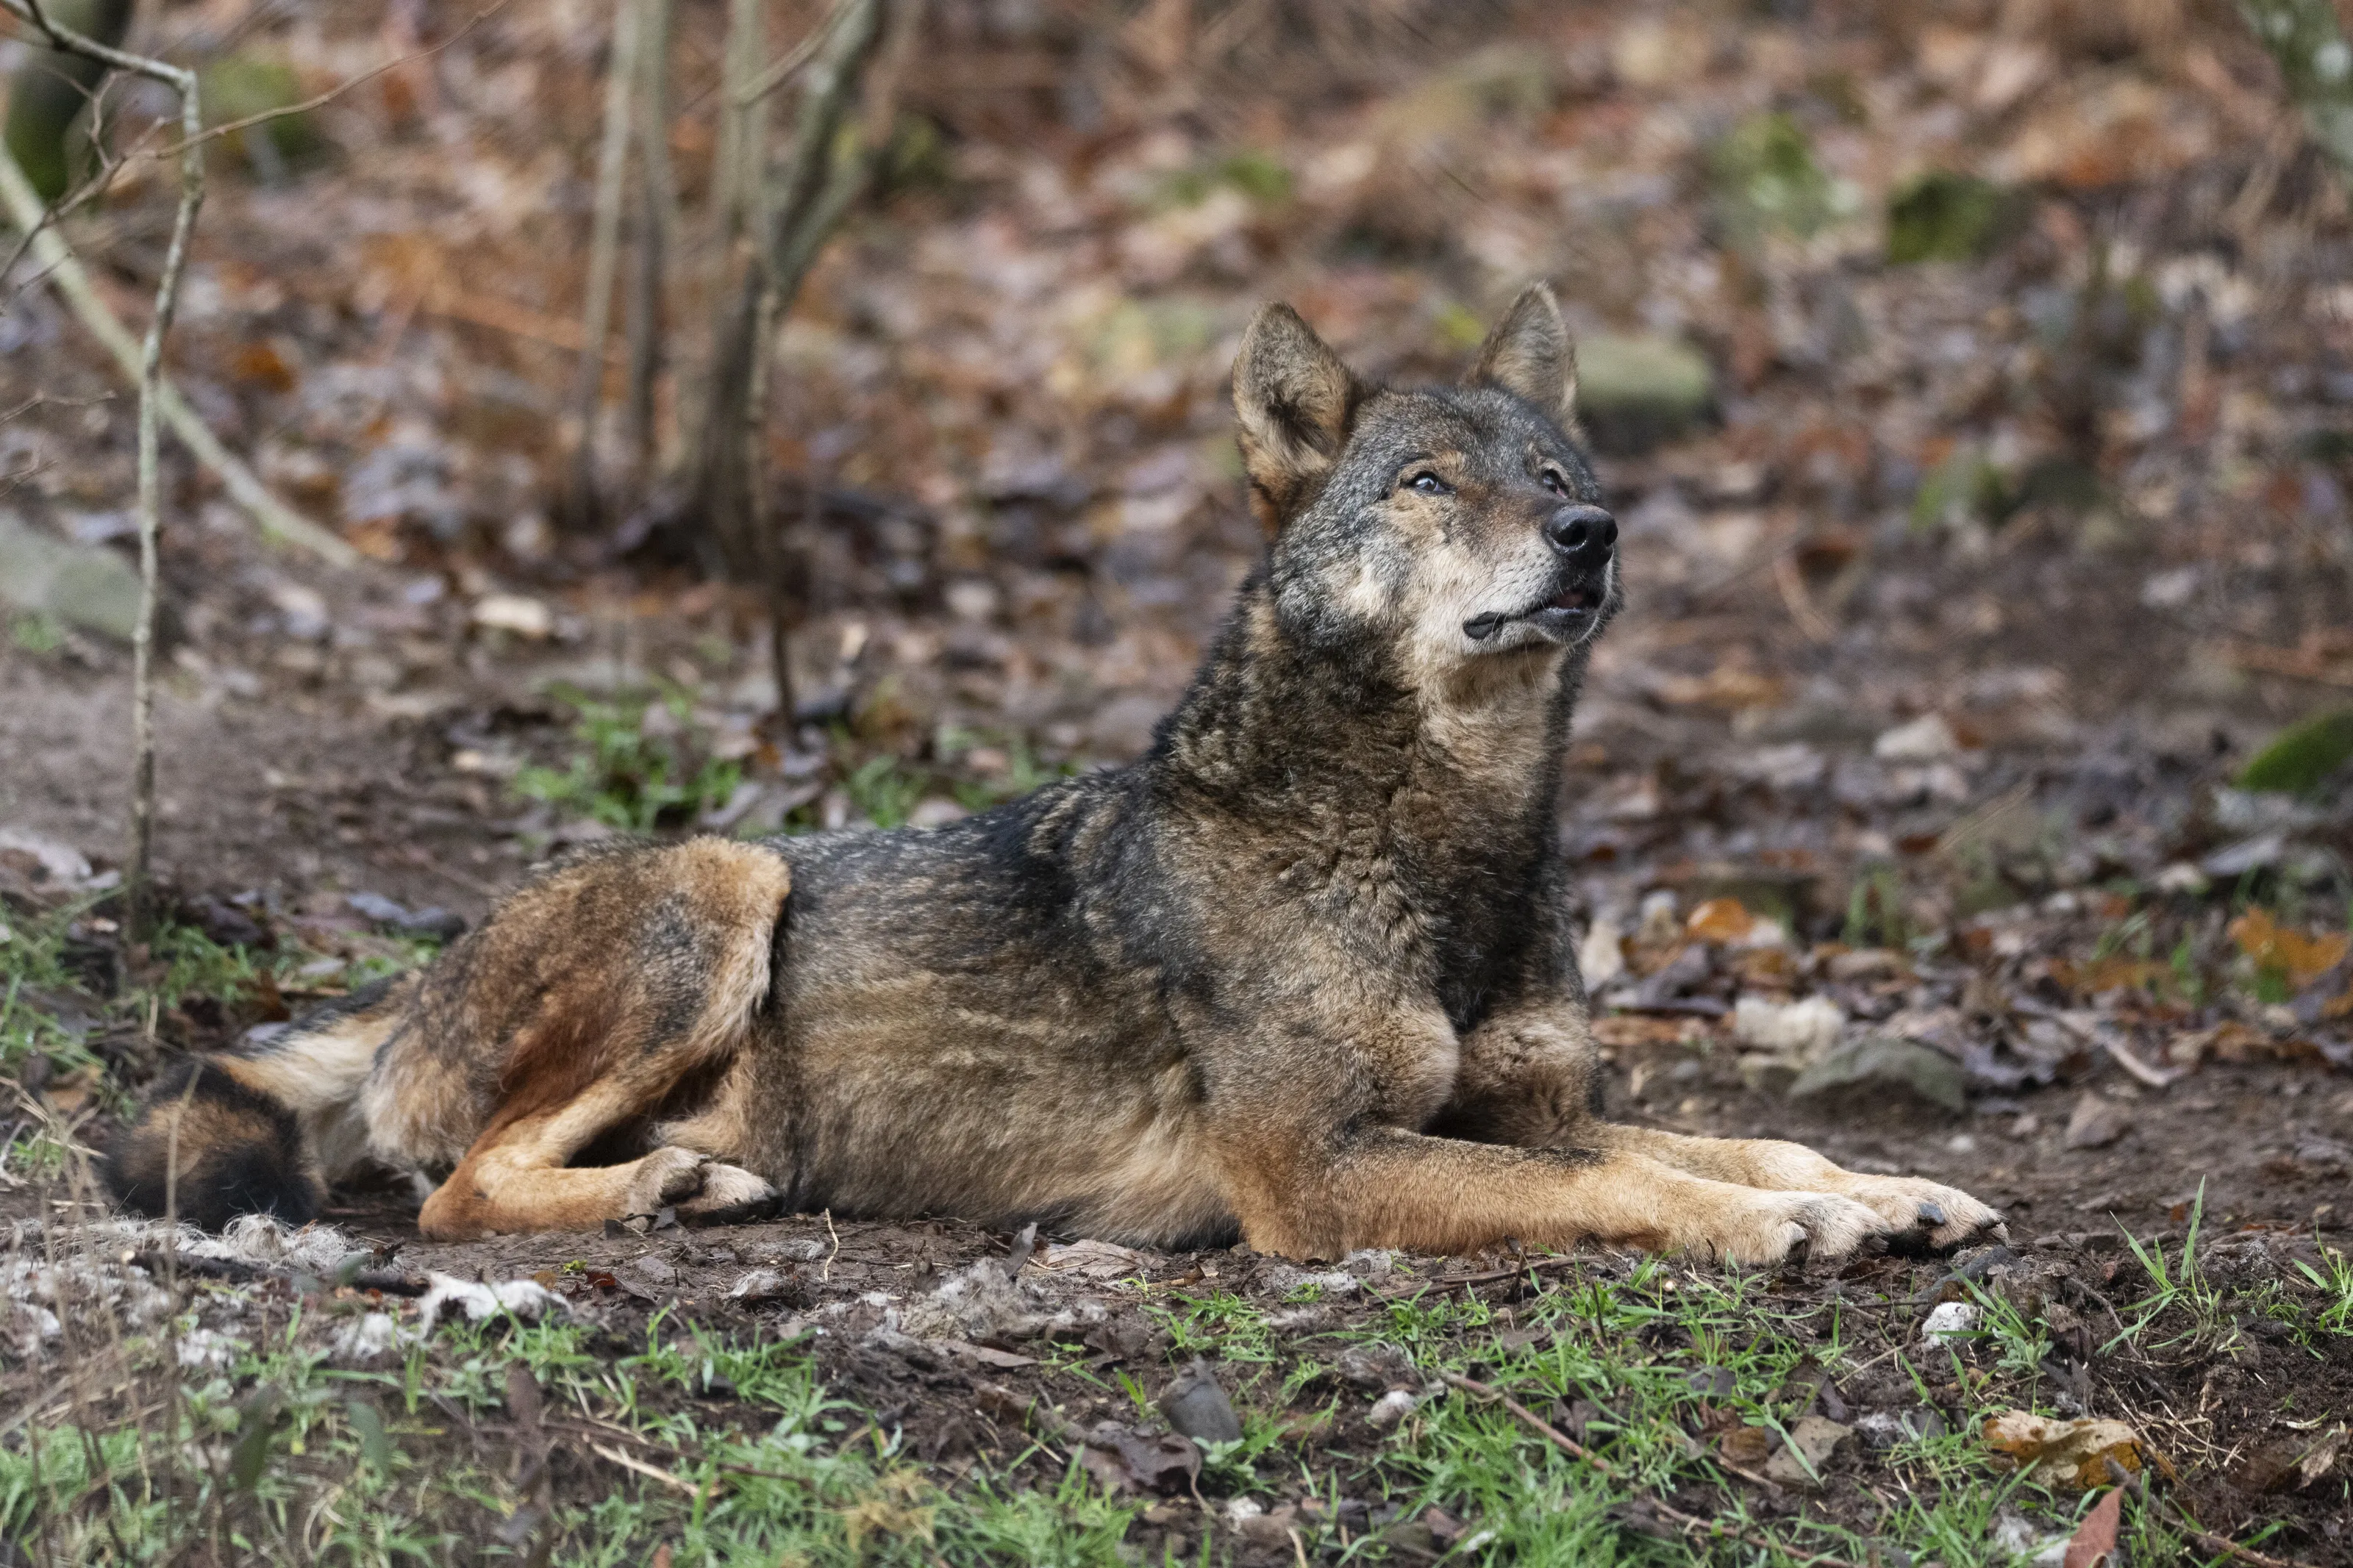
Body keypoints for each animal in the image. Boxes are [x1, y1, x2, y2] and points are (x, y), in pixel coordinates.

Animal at [107, 286, 2000, 1263]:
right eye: (1428, 482)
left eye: (1552, 470)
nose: (1594, 532)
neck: (1446, 841)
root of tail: (412, 972)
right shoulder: (1315, 1169)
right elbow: (1626, 1181)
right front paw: (1776, 1226)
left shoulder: (1514, 1102)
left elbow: (1746, 1133)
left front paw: (1884, 1190)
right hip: (726, 876)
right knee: (454, 1187)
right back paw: (657, 1188)